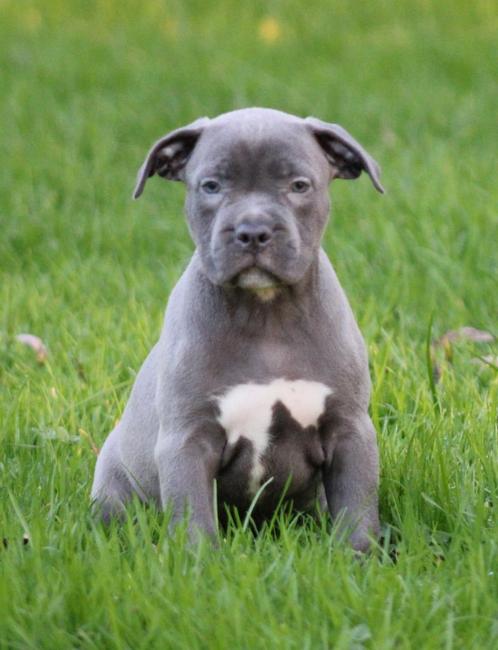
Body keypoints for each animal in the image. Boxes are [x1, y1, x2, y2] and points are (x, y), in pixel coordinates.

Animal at [91, 107, 384, 552]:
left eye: (299, 185)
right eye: (211, 186)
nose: (253, 231)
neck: (266, 314)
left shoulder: (350, 430)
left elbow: (358, 507)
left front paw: (359, 558)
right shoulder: (187, 440)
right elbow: (193, 514)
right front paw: (198, 561)